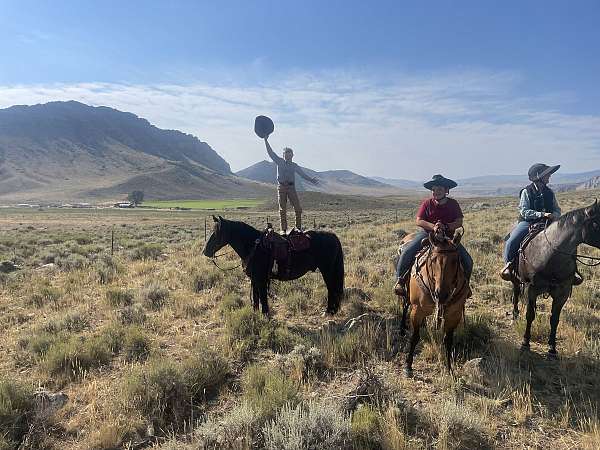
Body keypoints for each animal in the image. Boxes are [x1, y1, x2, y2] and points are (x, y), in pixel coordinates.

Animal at [203, 215, 344, 314]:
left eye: (217, 232)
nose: (205, 251)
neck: (254, 246)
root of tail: (333, 236)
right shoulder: (254, 279)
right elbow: (256, 298)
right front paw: (255, 315)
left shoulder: (261, 279)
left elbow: (263, 299)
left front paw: (265, 316)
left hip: (327, 270)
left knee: (331, 289)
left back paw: (329, 311)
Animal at [400, 230, 472, 378]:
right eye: (433, 260)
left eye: (455, 261)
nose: (442, 294)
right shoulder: (417, 310)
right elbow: (414, 337)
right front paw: (408, 366)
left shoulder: (454, 315)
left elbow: (448, 341)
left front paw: (450, 369)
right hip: (406, 293)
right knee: (404, 306)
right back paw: (402, 328)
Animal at [508, 202, 600, 356]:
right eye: (597, 224)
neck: (550, 255)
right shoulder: (531, 289)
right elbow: (530, 315)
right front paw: (525, 342)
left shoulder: (562, 293)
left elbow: (554, 319)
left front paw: (552, 348)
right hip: (516, 279)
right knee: (515, 294)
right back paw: (514, 316)